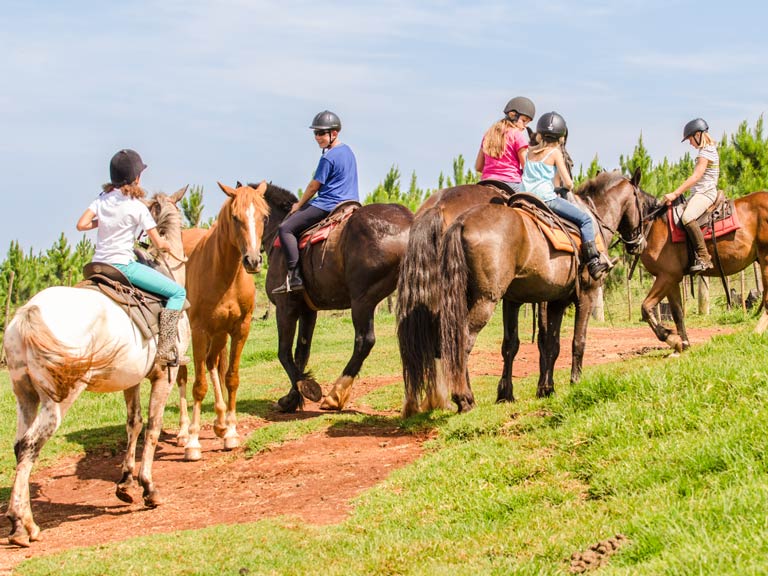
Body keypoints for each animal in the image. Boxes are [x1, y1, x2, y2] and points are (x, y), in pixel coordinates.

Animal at [3, 187, 190, 547]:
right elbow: (153, 427)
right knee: (31, 447)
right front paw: (148, 488)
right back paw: (24, 524)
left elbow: (134, 424)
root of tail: (29, 312)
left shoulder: (132, 379)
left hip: (25, 396)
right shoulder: (165, 374)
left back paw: (19, 519)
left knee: (20, 447)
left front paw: (125, 484)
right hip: (57, 400)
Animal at [175, 181, 268, 461]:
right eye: (235, 217)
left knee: (212, 363)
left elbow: (231, 377)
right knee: (183, 374)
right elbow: (198, 386)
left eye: (264, 217)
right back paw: (183, 432)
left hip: (218, 334)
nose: (253, 260)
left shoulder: (239, 329)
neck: (223, 272)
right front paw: (193, 442)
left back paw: (220, 423)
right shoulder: (199, 330)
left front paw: (231, 432)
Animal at [261, 183, 414, 413]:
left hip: (362, 300)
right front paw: (292, 397)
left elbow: (284, 352)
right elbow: (301, 352)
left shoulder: (285, 307)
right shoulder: (308, 310)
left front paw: (306, 389)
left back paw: (336, 394)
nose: (249, 260)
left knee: (364, 341)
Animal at [436, 170, 647, 411]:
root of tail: (461, 222)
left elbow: (542, 345)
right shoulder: (587, 294)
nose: (639, 243)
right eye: (642, 202)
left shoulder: (550, 301)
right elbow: (577, 341)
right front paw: (575, 382)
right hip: (485, 300)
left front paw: (537, 390)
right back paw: (464, 398)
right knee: (462, 340)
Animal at [638, 189, 768, 352]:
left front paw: (671, 339)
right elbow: (677, 313)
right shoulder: (671, 280)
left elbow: (646, 307)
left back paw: (755, 332)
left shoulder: (666, 276)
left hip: (766, 258)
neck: (653, 226)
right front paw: (682, 345)